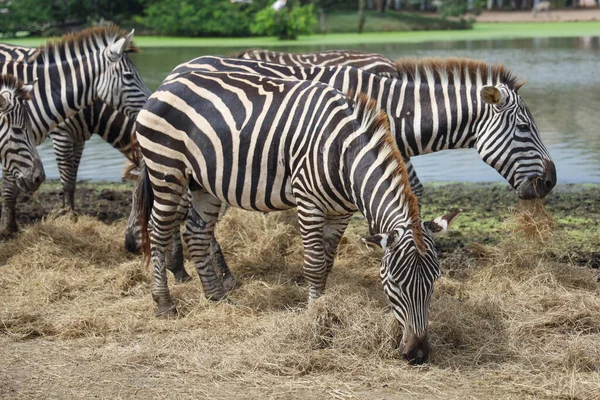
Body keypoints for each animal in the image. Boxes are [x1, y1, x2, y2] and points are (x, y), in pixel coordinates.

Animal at [132, 69, 460, 366]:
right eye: (393, 281)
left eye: (434, 280)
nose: (418, 355)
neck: (343, 153)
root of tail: (170, 80)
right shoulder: (308, 202)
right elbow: (314, 266)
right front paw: (315, 320)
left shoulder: (341, 213)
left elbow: (327, 265)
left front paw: (325, 312)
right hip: (166, 169)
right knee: (159, 232)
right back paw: (165, 304)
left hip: (203, 182)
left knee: (196, 233)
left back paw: (217, 297)